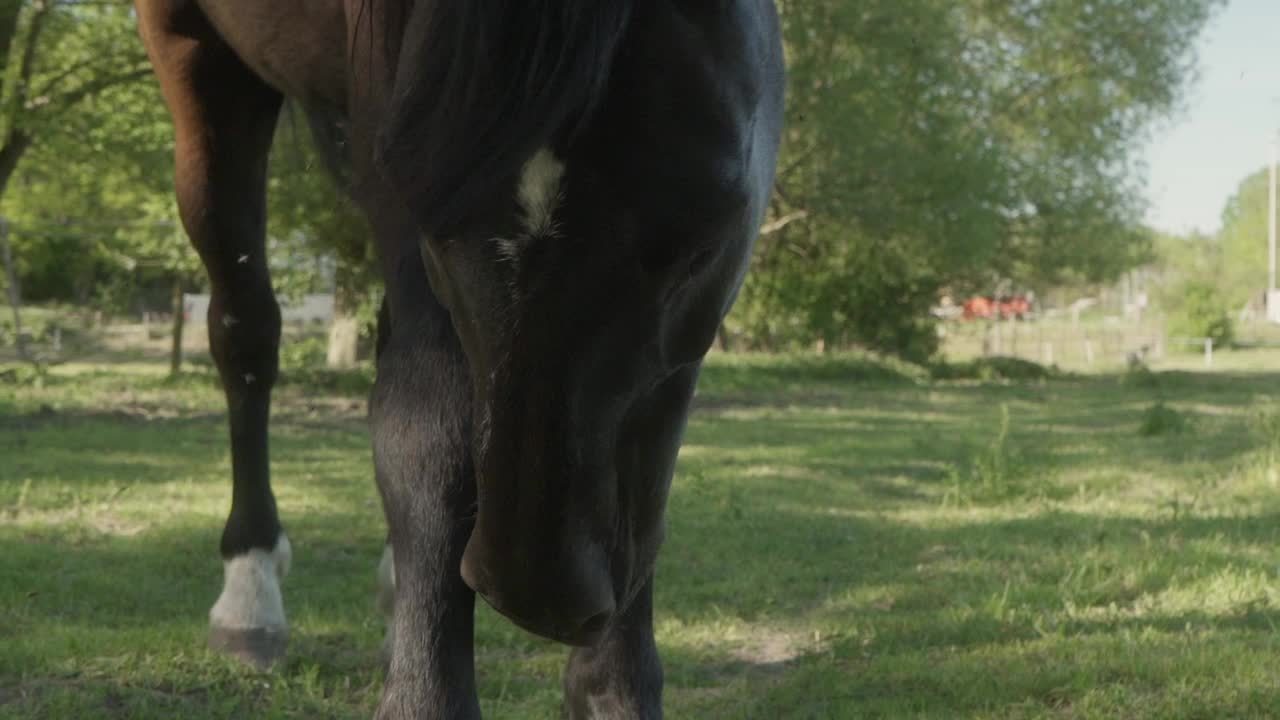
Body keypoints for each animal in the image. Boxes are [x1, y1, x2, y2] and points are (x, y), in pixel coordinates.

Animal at [137, 2, 778, 712]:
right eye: (434, 225)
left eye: (705, 236)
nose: (541, 595)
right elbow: (425, 424)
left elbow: (648, 466)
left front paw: (611, 692)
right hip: (198, 59)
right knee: (246, 329)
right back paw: (251, 595)